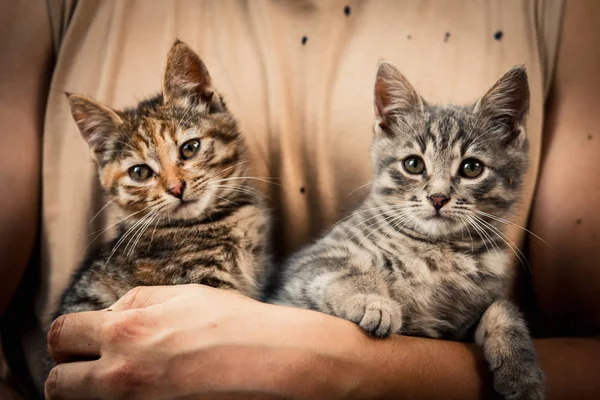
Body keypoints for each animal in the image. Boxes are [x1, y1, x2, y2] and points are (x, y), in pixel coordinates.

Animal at [274, 61, 548, 400]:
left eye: (472, 168)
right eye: (414, 164)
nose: (438, 197)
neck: (439, 250)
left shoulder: (459, 326)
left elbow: (503, 309)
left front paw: (523, 375)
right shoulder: (308, 264)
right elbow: (342, 269)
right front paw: (373, 302)